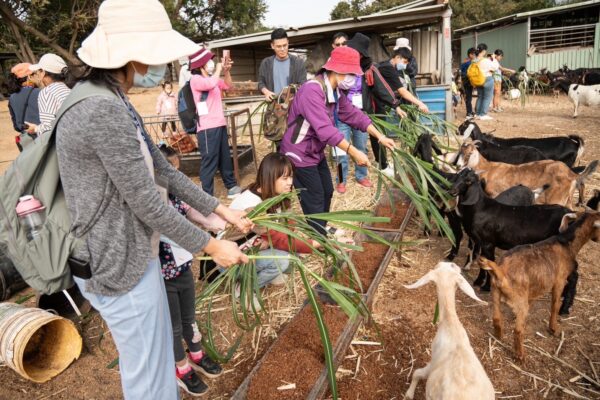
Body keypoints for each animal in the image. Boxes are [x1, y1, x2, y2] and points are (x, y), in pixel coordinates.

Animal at [404, 262, 492, 400]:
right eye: (451, 267)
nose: (446, 262)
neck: (451, 327)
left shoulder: (433, 362)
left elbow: (417, 373)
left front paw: (409, 394)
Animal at [460, 142, 596, 208]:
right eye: (460, 151)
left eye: (469, 153)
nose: (459, 165)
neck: (488, 168)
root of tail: (572, 174)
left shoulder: (495, 194)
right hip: (567, 199)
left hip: (556, 199)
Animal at [482, 211, 600, 360]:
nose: (598, 239)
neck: (566, 242)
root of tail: (501, 271)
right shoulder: (559, 281)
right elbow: (555, 305)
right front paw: (554, 329)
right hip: (519, 298)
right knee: (518, 330)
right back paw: (521, 356)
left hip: (495, 293)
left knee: (497, 318)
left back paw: (498, 337)